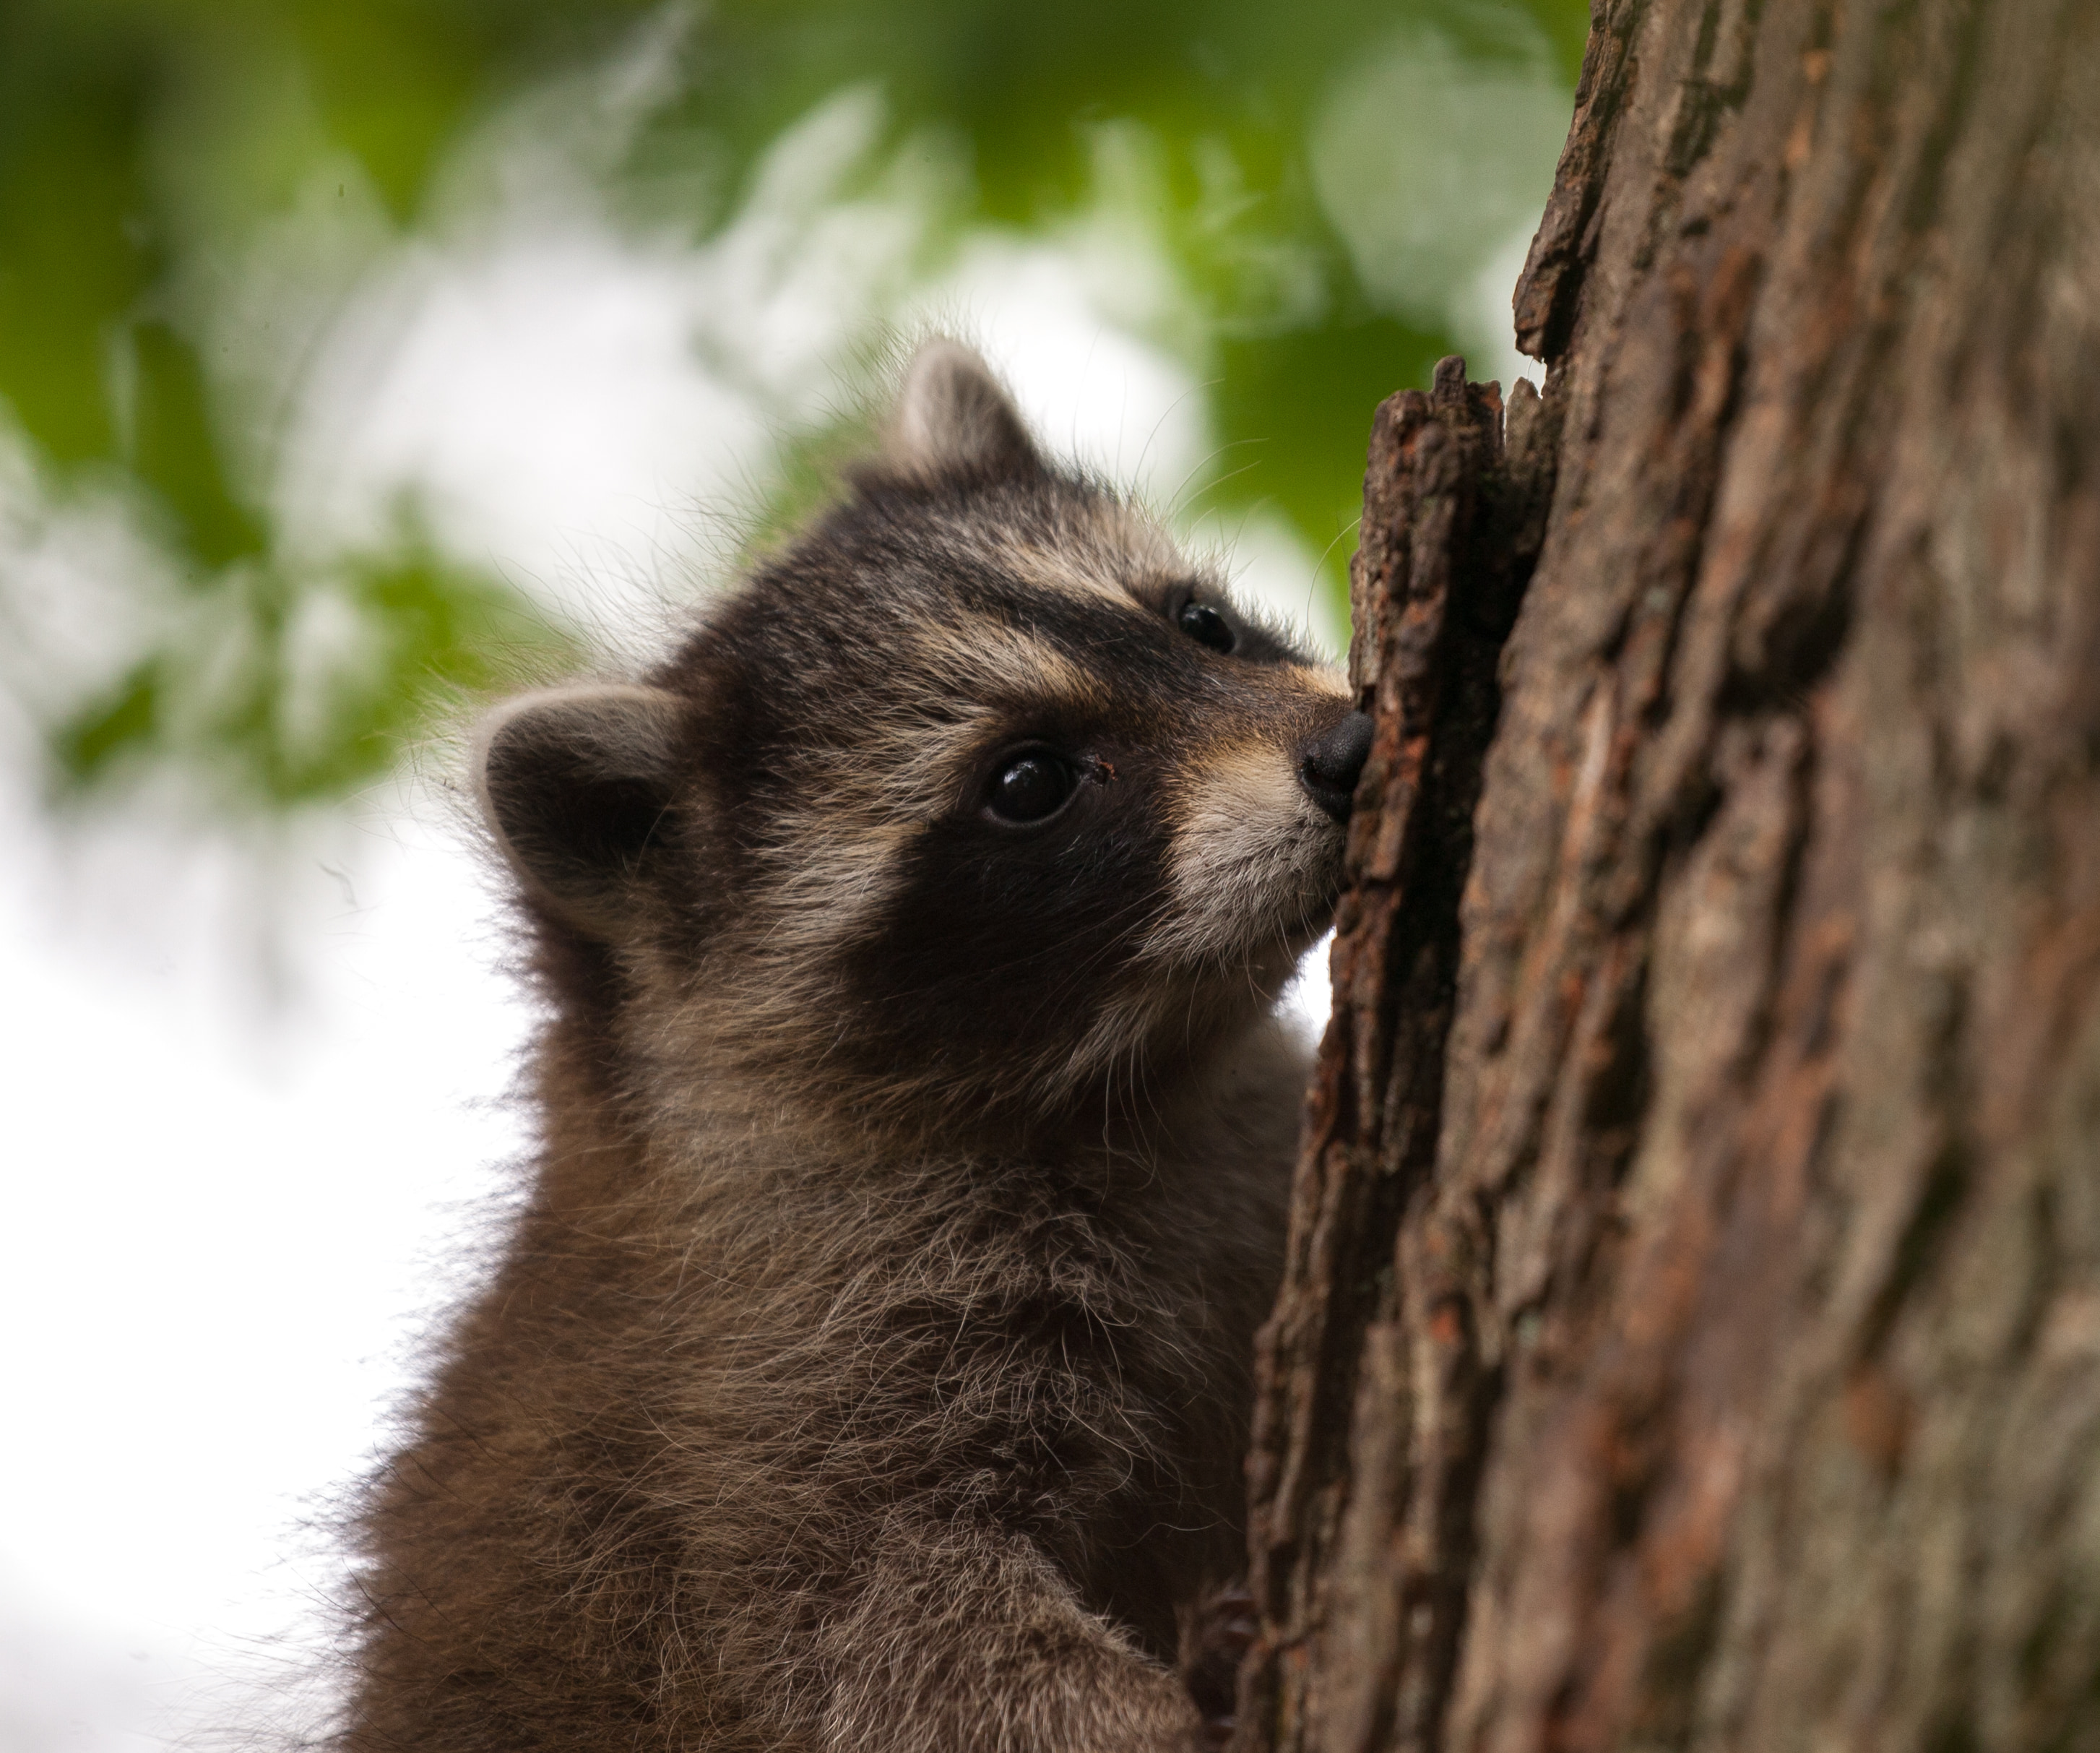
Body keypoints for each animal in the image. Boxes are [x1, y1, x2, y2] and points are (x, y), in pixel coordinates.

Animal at [342, 342, 1371, 1753]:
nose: (1348, 747)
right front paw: (1180, 1710)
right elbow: (888, 1632)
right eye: (1028, 781)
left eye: (1198, 624)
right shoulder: (775, 1377)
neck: (1148, 1077)